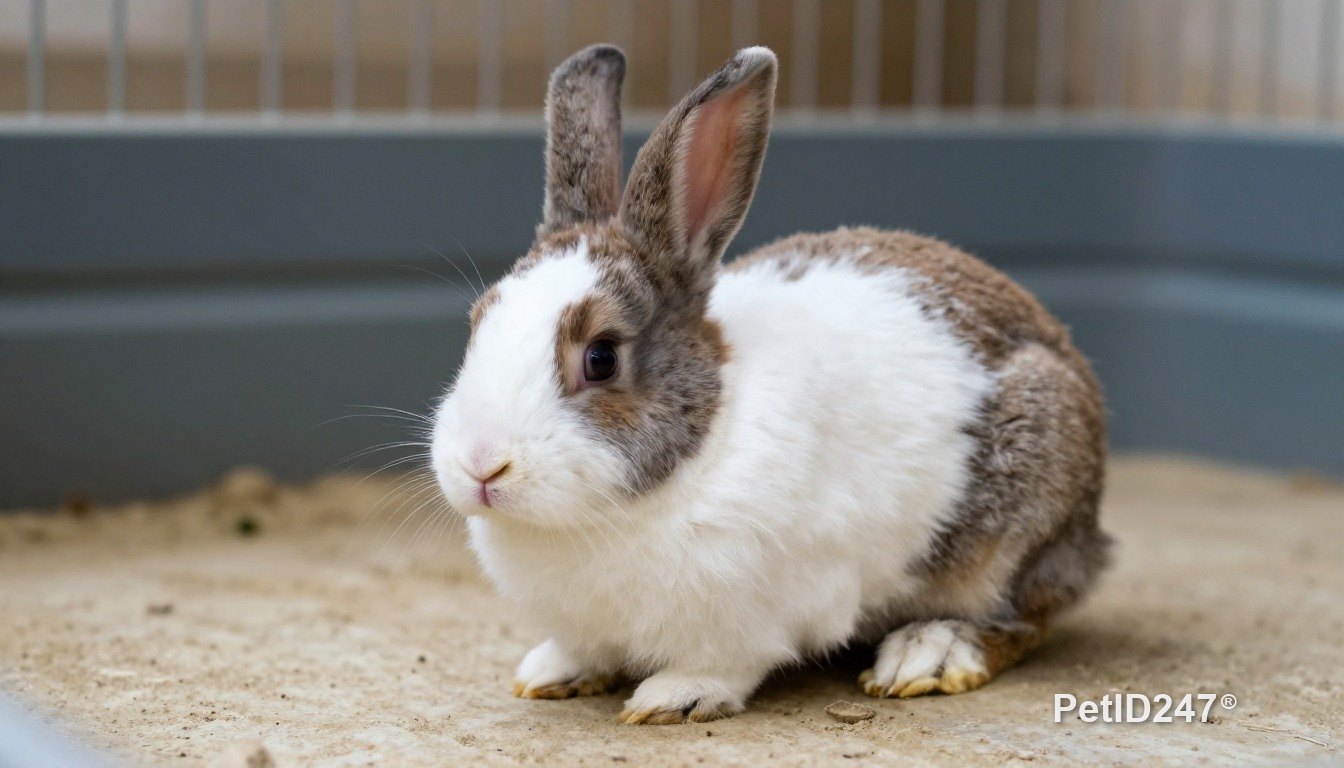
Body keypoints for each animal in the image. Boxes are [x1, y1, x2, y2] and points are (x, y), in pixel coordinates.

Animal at [430, 43, 1109, 725]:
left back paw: (927, 655)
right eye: (477, 324)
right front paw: (552, 672)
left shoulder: (766, 610)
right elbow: (583, 650)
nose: (482, 466)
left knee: (1024, 617)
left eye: (600, 357)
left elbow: (729, 664)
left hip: (1016, 531)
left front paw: (673, 699)